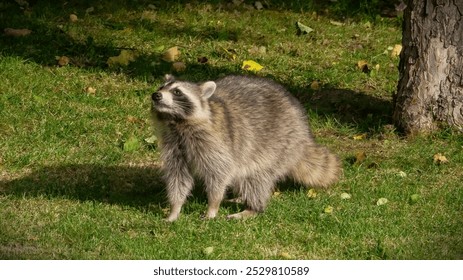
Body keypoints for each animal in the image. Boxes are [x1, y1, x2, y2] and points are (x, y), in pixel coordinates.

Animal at [152, 74, 340, 221]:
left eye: (177, 92)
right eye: (161, 87)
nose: (156, 95)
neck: (177, 122)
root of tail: (304, 134)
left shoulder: (215, 142)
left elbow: (219, 172)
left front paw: (213, 205)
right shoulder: (174, 145)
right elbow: (178, 176)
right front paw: (175, 209)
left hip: (279, 146)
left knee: (255, 178)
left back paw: (253, 208)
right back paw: (241, 197)